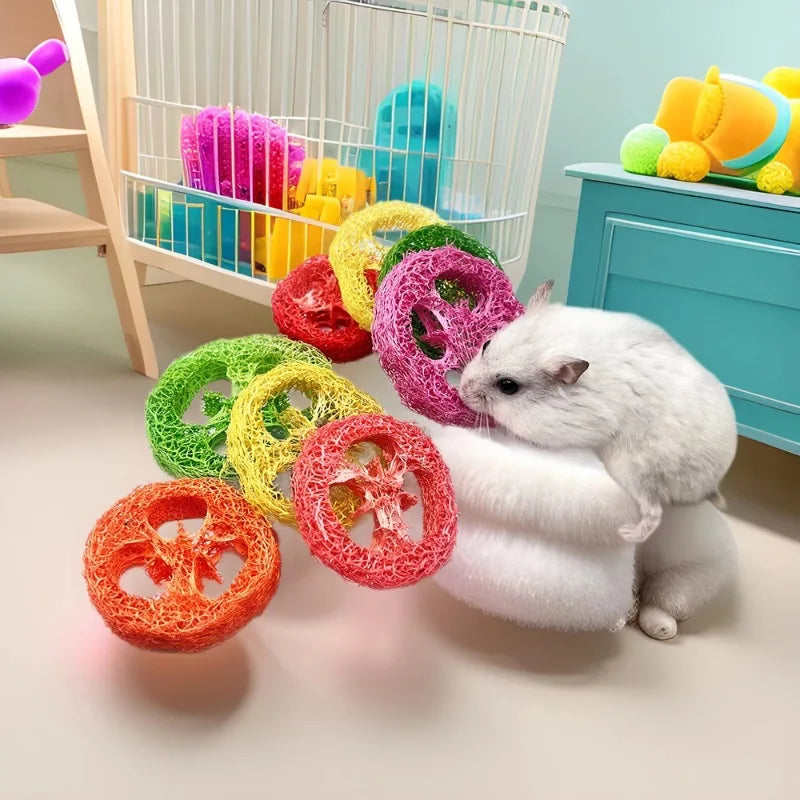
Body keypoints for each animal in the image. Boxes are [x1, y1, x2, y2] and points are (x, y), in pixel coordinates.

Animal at [458, 280, 737, 543]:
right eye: (486, 344)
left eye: (508, 386)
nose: (461, 392)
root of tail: (711, 483)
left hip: (632, 470)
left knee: (654, 512)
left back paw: (626, 533)